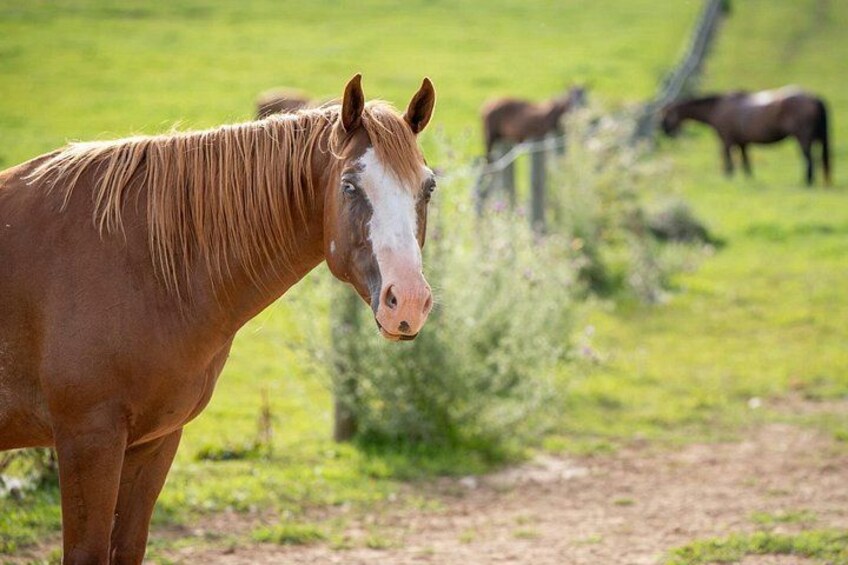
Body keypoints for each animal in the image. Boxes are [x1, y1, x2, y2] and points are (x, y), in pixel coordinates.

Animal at [0, 74, 437, 564]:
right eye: (349, 186)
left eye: (429, 187)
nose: (409, 302)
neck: (141, 265)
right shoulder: (87, 440)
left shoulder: (153, 443)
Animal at [661, 86, 831, 186]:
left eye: (667, 115)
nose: (665, 132)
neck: (717, 108)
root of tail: (814, 97)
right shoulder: (742, 143)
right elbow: (745, 162)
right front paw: (749, 179)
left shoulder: (726, 140)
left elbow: (728, 160)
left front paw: (728, 177)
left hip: (803, 138)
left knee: (809, 159)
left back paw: (806, 182)